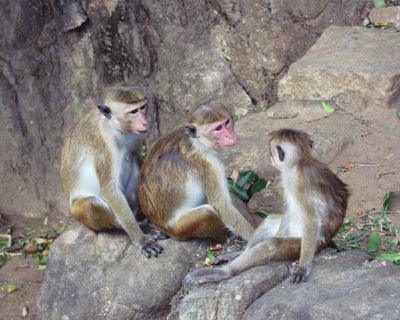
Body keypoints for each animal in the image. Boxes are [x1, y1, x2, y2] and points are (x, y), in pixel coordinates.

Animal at [59, 84, 166, 258]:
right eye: (133, 112)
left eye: (142, 107)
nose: (144, 121)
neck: (115, 127)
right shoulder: (104, 146)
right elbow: (109, 189)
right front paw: (142, 241)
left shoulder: (136, 137)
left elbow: (138, 158)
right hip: (80, 213)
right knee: (89, 204)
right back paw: (137, 227)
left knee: (132, 160)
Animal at [138, 104, 256, 244]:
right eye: (218, 128)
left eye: (227, 122)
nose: (230, 135)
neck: (198, 142)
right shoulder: (210, 165)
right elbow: (222, 206)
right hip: (179, 228)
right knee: (207, 212)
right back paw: (224, 239)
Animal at [185, 129, 350, 284]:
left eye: (272, 152)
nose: (270, 158)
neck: (299, 164)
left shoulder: (300, 184)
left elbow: (312, 222)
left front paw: (302, 268)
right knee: (270, 222)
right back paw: (238, 255)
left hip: (301, 244)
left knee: (272, 244)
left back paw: (226, 272)